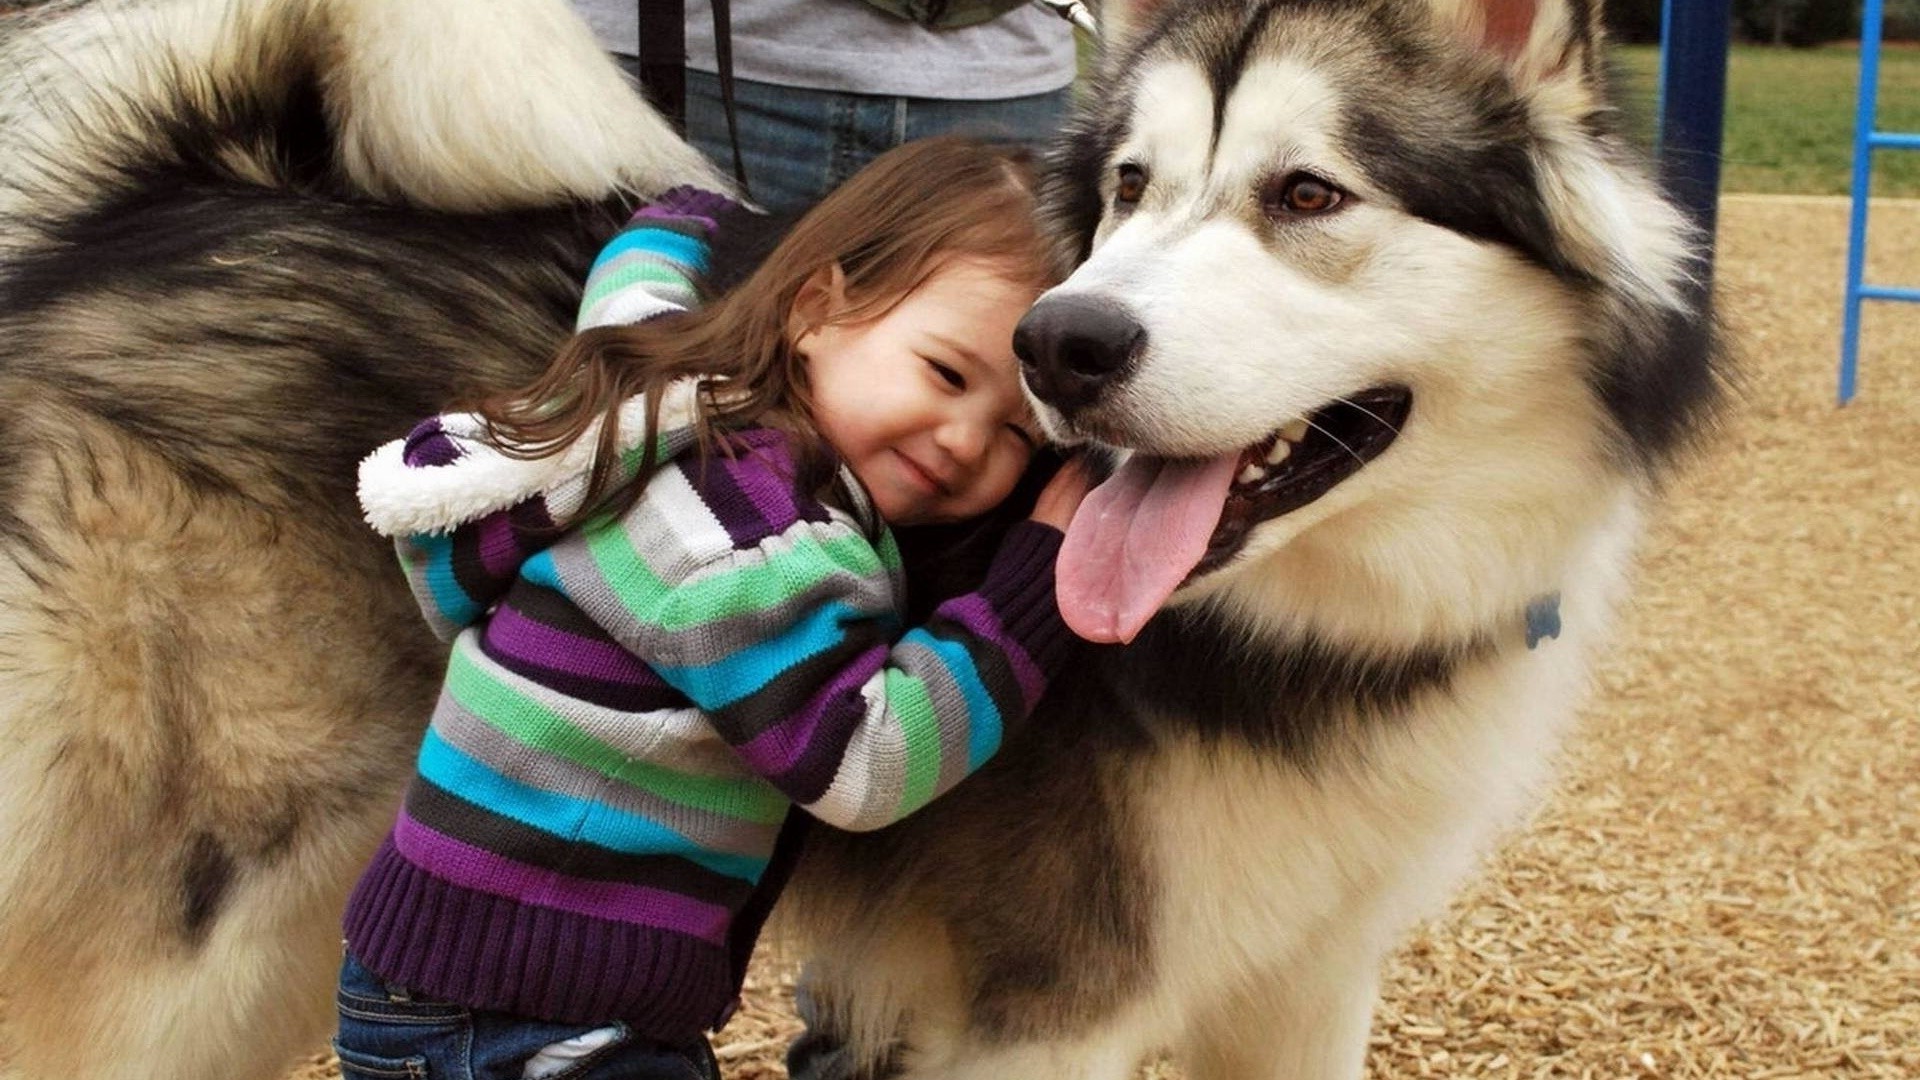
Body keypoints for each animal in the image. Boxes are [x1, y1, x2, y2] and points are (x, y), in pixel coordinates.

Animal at [0, 0, 1712, 1068]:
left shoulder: (1305, 979)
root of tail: (151, 209)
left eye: (1307, 193)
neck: (1307, 628)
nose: (1062, 344)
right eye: (1132, 187)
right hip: (175, 947)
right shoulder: (1048, 1007)